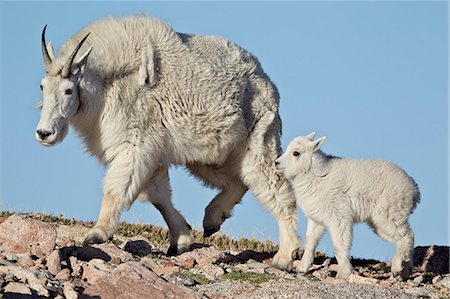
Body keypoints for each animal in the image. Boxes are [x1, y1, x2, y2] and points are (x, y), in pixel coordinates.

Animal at [36, 15, 298, 270]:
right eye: (42, 86)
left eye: (69, 90)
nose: (44, 133)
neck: (109, 82)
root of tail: (268, 84)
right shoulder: (153, 153)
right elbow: (159, 196)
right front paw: (181, 240)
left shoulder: (136, 145)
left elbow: (116, 189)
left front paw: (97, 234)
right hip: (209, 155)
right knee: (238, 181)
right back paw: (212, 220)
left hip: (259, 141)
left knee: (276, 189)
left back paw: (285, 256)